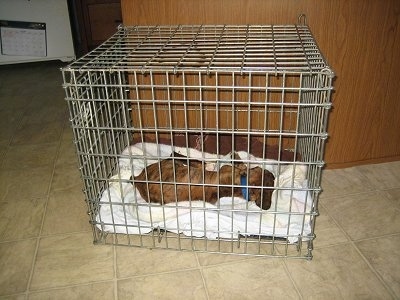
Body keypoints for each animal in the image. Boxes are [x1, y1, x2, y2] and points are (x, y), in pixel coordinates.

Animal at [134, 152, 276, 209]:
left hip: (171, 165)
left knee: (177, 157)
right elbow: (241, 164)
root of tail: (138, 180)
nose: (266, 207)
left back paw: (207, 165)